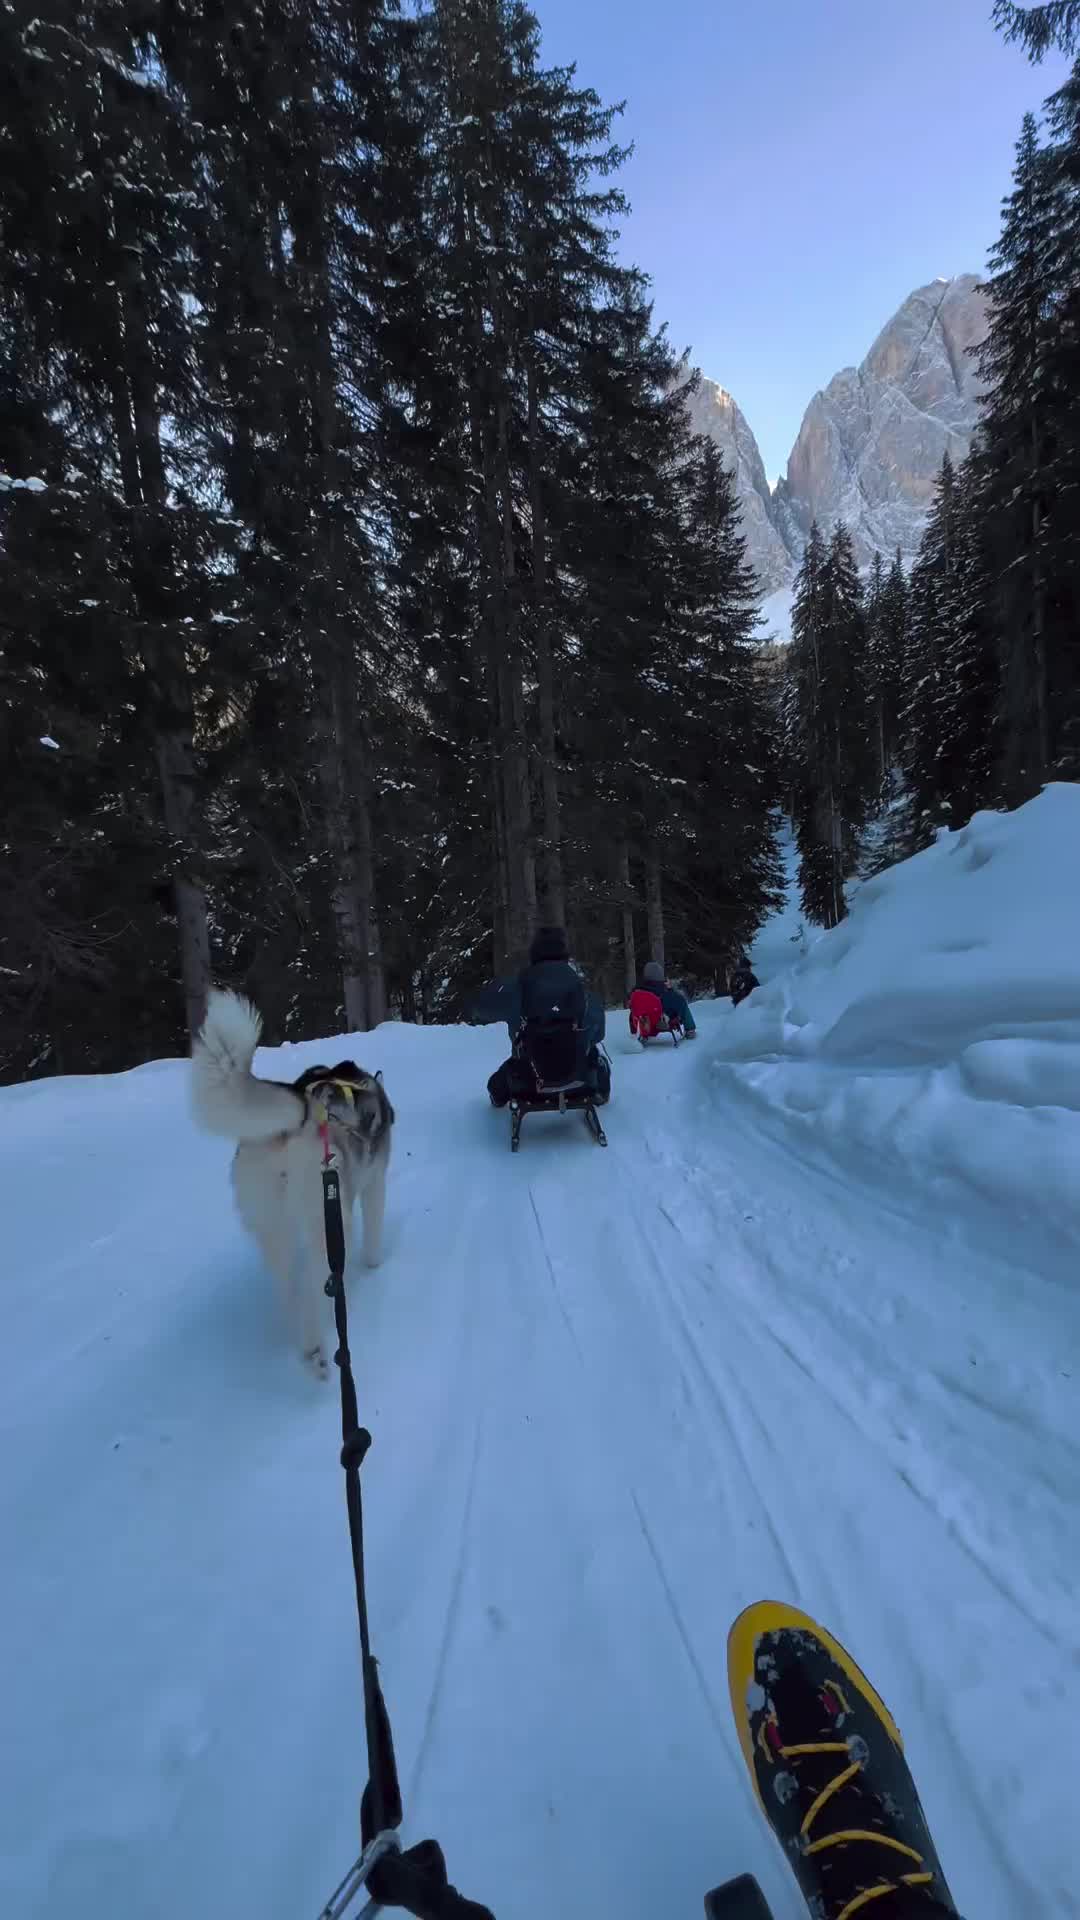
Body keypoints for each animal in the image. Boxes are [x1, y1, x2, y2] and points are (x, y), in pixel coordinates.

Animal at [191, 990, 393, 1382]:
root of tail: (296, 1119)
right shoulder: (375, 1181)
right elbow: (375, 1232)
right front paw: (375, 1263)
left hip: (271, 1226)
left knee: (289, 1287)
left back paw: (305, 1345)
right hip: (328, 1218)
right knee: (317, 1286)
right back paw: (318, 1345)